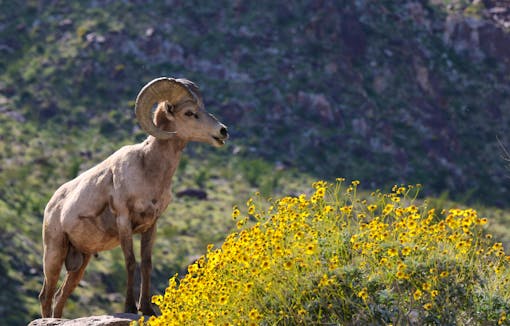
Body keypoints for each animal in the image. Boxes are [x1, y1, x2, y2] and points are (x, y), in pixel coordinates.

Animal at [39, 77, 229, 318]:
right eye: (189, 113)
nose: (223, 131)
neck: (148, 169)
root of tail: (52, 204)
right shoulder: (124, 220)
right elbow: (130, 262)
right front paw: (130, 307)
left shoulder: (151, 225)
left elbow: (146, 263)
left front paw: (147, 308)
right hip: (54, 253)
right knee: (46, 295)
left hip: (81, 261)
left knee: (60, 297)